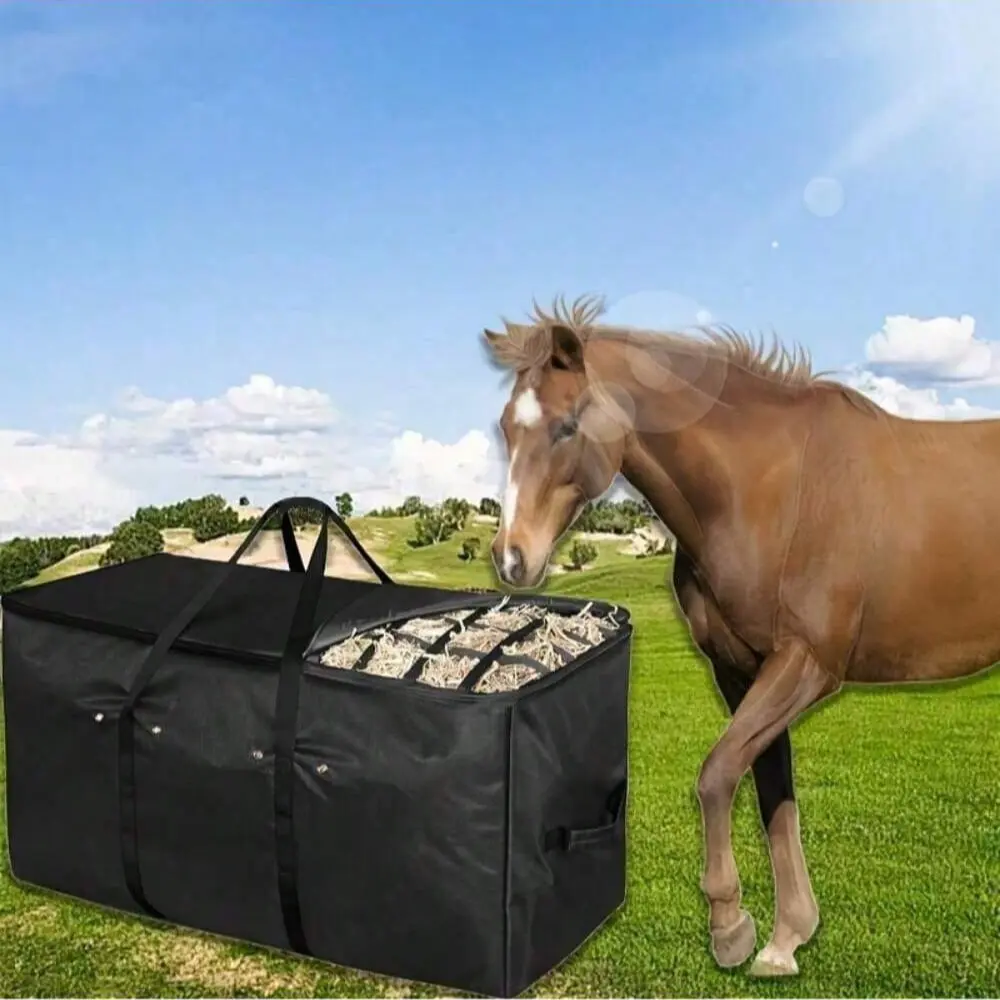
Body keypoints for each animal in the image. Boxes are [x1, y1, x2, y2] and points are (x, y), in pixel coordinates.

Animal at [481, 294, 998, 978]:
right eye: (506, 428)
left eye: (567, 426)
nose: (512, 558)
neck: (771, 491)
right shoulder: (741, 670)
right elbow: (771, 788)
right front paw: (786, 937)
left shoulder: (806, 665)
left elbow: (718, 773)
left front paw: (730, 925)